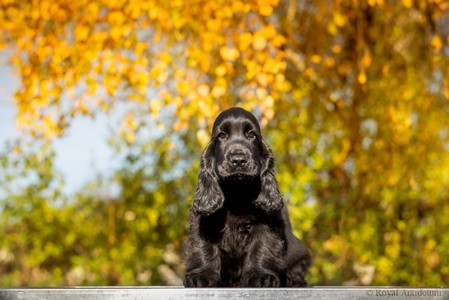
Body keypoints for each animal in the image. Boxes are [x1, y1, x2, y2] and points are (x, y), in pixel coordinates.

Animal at [184, 106, 310, 288]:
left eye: (251, 135)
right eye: (222, 135)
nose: (238, 160)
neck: (237, 192)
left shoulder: (266, 223)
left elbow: (261, 246)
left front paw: (261, 276)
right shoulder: (205, 222)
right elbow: (204, 247)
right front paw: (201, 275)